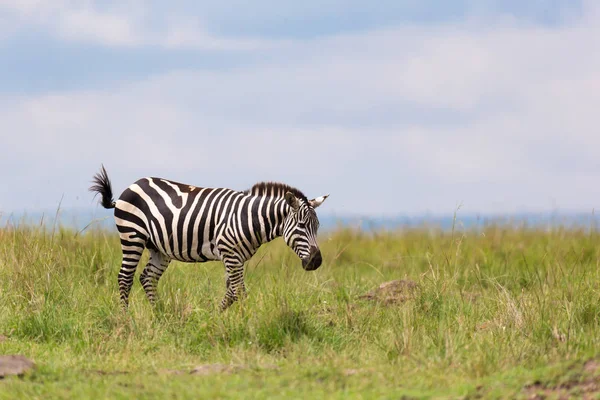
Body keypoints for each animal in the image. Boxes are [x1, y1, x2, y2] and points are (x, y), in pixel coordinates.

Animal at [89, 164, 328, 310]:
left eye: (317, 227)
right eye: (301, 225)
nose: (316, 262)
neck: (248, 217)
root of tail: (133, 185)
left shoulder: (235, 257)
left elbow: (231, 292)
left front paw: (216, 316)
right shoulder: (230, 253)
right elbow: (239, 291)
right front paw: (248, 322)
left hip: (159, 248)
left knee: (147, 278)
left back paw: (162, 316)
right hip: (132, 236)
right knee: (125, 278)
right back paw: (125, 319)